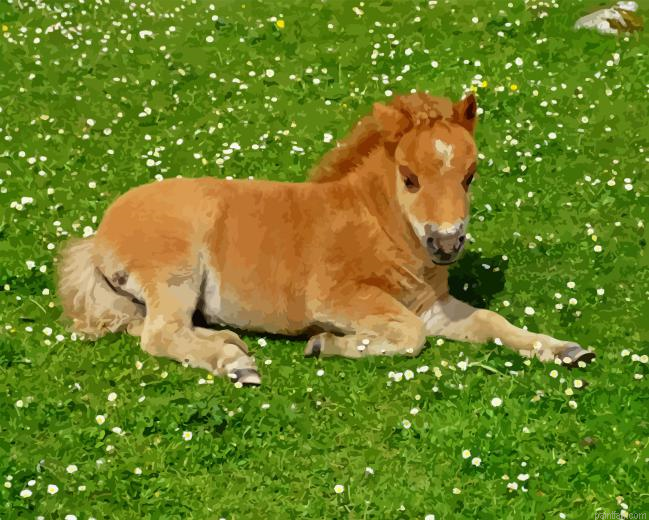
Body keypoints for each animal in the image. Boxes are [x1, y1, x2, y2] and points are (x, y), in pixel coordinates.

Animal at [56, 92, 595, 386]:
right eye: (409, 178)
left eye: (470, 175)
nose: (446, 245)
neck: (380, 225)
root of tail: (98, 234)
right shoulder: (337, 297)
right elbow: (409, 336)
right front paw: (325, 344)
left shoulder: (432, 306)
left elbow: (489, 321)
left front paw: (564, 349)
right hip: (175, 271)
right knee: (158, 335)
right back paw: (236, 363)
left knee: (150, 328)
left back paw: (227, 342)